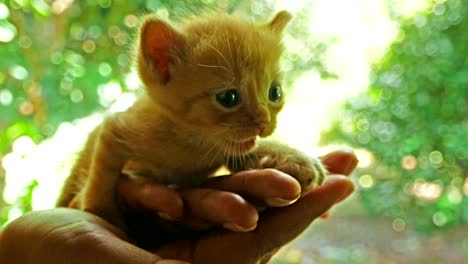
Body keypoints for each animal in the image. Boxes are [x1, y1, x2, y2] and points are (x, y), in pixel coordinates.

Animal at [57, 10, 326, 227]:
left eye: (275, 93)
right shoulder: (116, 127)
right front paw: (99, 209)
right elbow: (103, 170)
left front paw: (293, 158)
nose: (263, 121)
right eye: (228, 97)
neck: (193, 144)